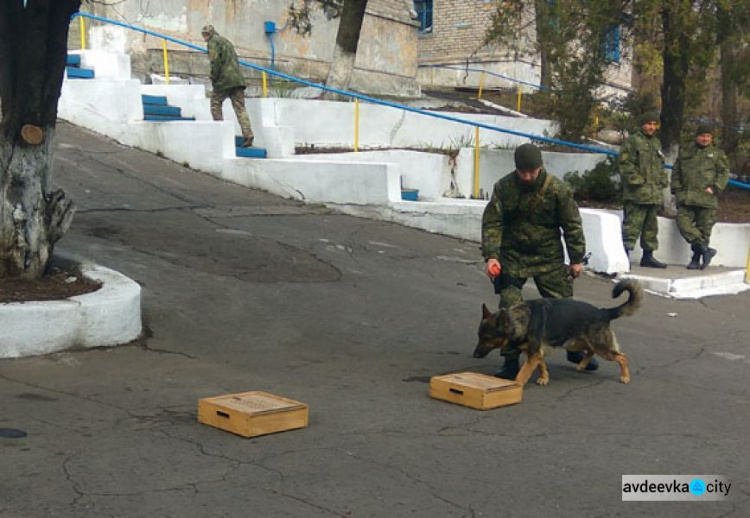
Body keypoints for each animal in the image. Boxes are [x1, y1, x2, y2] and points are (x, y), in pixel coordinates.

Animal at [476, 282, 648, 388]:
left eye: (487, 339)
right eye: (479, 337)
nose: (475, 354)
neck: (520, 320)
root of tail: (604, 312)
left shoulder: (534, 354)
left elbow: (522, 373)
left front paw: (516, 385)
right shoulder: (537, 353)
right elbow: (542, 365)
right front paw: (545, 378)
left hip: (601, 347)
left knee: (621, 357)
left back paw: (625, 376)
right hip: (576, 343)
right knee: (590, 350)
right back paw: (583, 364)